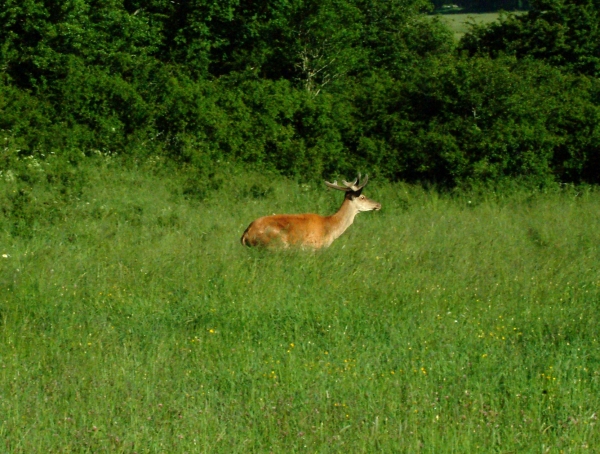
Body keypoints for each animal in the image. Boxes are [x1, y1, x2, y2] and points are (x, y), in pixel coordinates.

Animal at [239, 174, 380, 250]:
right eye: (362, 197)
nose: (378, 204)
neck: (330, 228)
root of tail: (246, 234)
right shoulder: (313, 247)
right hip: (275, 244)